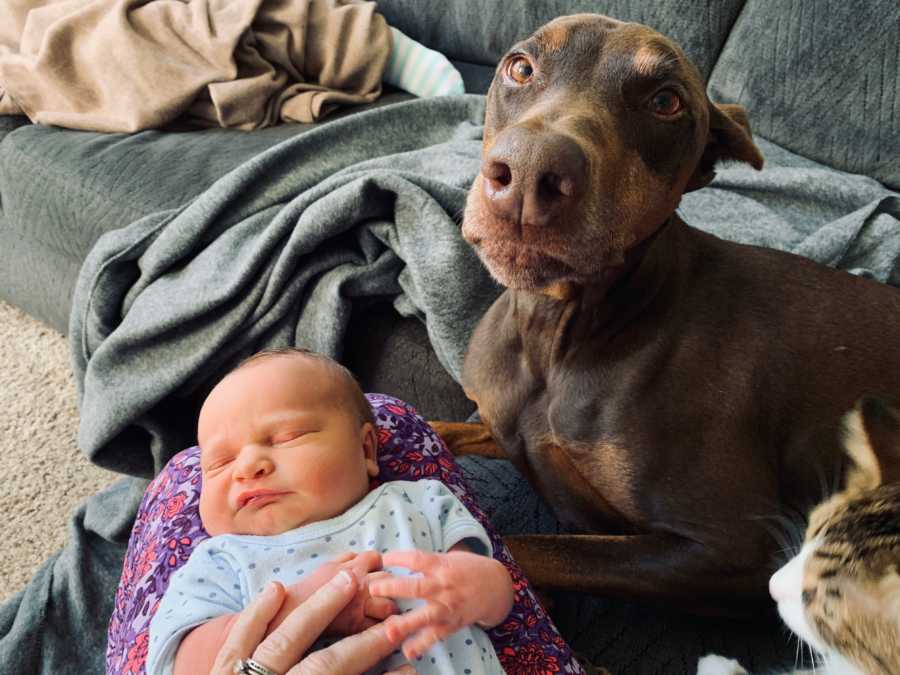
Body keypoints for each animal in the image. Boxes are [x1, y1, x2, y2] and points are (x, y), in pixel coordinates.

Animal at [430, 11, 900, 612]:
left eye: (665, 102)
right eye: (520, 67)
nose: (530, 171)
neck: (558, 333)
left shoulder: (730, 547)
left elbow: (523, 547)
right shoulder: (499, 420)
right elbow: (444, 425)